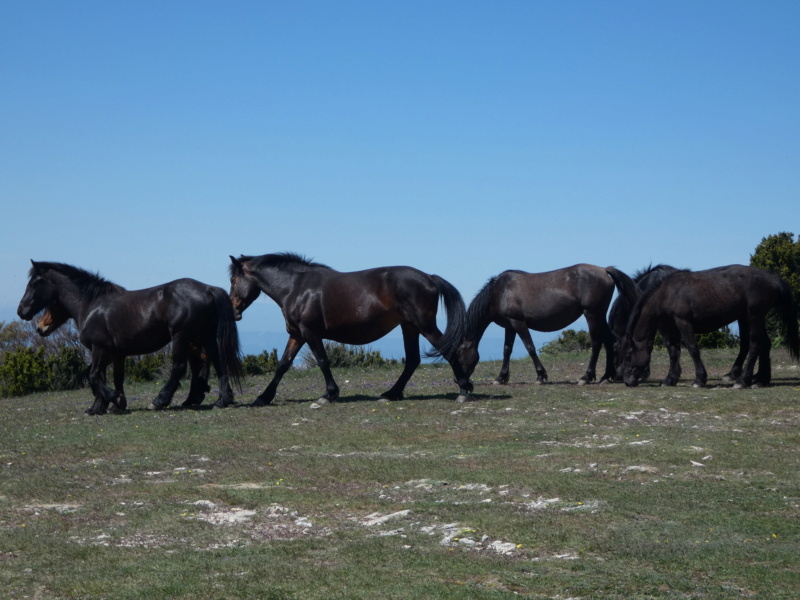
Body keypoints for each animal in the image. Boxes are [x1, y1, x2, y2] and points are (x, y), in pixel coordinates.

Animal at [18, 260, 244, 414]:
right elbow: (113, 377)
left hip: (182, 336)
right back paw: (222, 400)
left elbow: (94, 375)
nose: (22, 311)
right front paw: (104, 406)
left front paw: (113, 401)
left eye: (33, 284)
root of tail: (207, 288)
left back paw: (159, 401)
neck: (92, 305)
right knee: (218, 362)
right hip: (205, 336)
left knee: (179, 367)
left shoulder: (100, 349)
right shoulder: (116, 353)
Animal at [228, 251, 472, 406]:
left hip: (424, 326)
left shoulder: (310, 333)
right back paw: (390, 394)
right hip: (409, 327)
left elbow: (322, 361)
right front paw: (263, 397)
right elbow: (282, 365)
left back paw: (463, 390)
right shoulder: (297, 335)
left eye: (232, 280)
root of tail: (429, 278)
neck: (296, 288)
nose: (233, 310)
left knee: (447, 350)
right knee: (412, 360)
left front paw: (329, 394)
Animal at [460, 264, 636, 386]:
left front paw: (540, 376)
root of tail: (604, 270)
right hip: (599, 315)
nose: (459, 380)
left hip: (592, 314)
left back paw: (585, 377)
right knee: (609, 341)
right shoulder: (510, 326)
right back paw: (606, 376)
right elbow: (507, 350)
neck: (500, 292)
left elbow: (530, 347)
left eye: (459, 354)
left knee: (597, 342)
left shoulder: (518, 322)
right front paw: (501, 377)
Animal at [624, 264, 800, 386]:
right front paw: (670, 379)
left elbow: (692, 349)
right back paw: (760, 380)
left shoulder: (683, 322)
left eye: (628, 355)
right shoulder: (669, 326)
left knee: (755, 344)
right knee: (764, 344)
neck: (668, 293)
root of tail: (773, 278)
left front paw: (700, 380)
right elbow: (673, 351)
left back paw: (742, 381)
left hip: (754, 316)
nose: (626, 380)